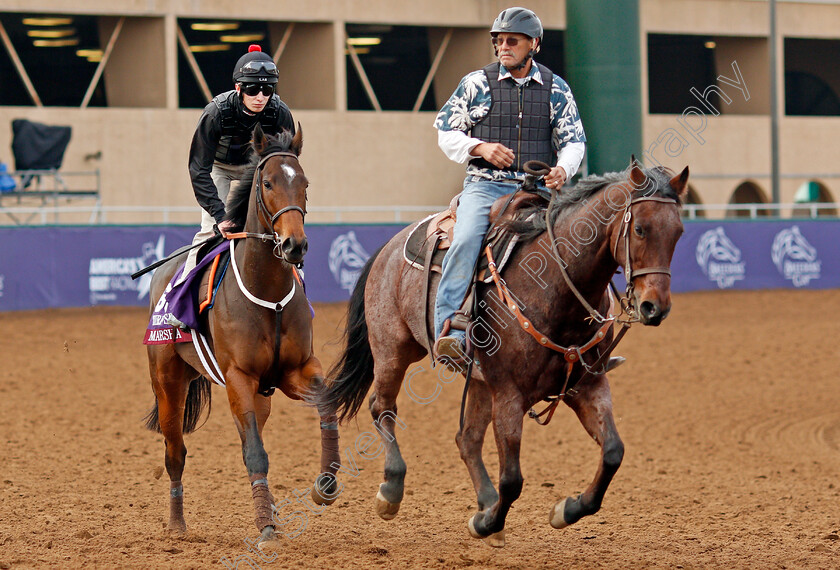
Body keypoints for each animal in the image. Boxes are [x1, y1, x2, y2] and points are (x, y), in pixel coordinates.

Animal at [144, 123, 338, 544]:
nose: (295, 245)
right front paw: (264, 525)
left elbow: (326, 403)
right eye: (267, 183)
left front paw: (326, 484)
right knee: (175, 453)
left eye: (305, 184)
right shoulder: (238, 376)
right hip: (168, 380)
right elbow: (255, 454)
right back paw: (177, 525)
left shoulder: (295, 369)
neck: (268, 295)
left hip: (259, 393)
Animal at [318, 160, 684, 544]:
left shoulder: (587, 386)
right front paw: (487, 522)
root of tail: (389, 246)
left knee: (467, 439)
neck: (553, 287)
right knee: (382, 407)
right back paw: (392, 489)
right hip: (393, 349)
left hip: (479, 381)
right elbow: (512, 479)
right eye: (640, 229)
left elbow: (613, 453)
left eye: (678, 232)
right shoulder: (509, 394)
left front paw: (566, 510)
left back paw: (485, 501)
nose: (654, 307)